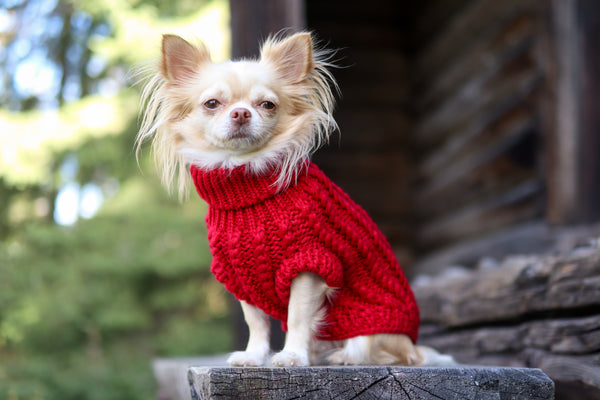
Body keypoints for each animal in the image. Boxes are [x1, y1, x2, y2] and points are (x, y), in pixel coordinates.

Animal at [137, 31, 454, 368]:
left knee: (390, 356)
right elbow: (256, 323)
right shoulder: (241, 275)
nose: (241, 113)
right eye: (212, 104)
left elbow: (298, 316)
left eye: (267, 105)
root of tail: (414, 343)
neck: (248, 185)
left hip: (372, 332)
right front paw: (254, 356)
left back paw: (341, 357)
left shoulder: (309, 264)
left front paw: (291, 355)